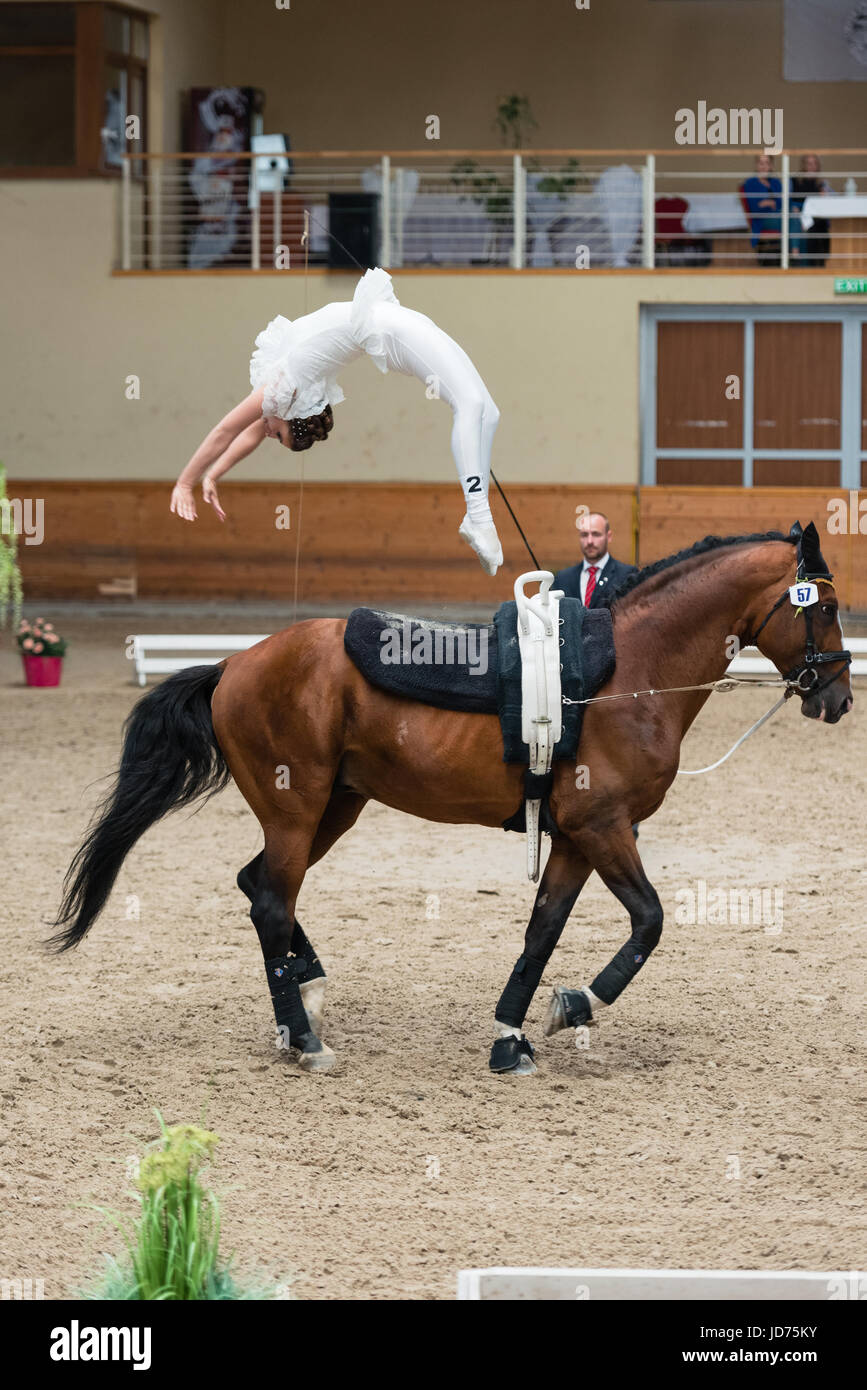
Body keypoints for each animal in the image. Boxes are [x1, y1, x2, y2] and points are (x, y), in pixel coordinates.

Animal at [52, 522, 855, 1073]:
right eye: (825, 604)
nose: (839, 697)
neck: (629, 673)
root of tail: (236, 663)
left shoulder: (575, 836)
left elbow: (541, 931)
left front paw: (513, 1035)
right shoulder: (606, 827)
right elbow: (650, 922)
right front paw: (576, 1003)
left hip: (333, 807)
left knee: (256, 888)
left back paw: (305, 998)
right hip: (296, 810)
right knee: (272, 901)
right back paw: (305, 1039)